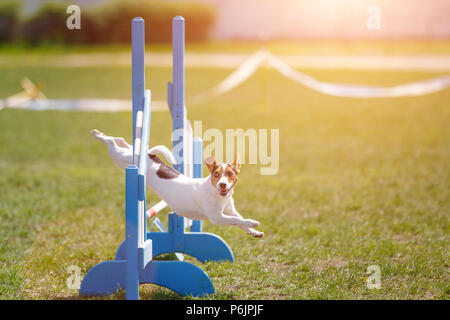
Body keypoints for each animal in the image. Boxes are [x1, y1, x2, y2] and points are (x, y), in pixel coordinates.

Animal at [91, 128, 264, 238]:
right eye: (216, 175)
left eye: (229, 174)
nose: (222, 185)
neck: (217, 194)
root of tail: (149, 156)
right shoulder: (217, 217)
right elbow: (237, 220)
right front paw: (252, 222)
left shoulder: (230, 212)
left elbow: (239, 220)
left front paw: (253, 231)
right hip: (120, 158)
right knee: (111, 143)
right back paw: (98, 135)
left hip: (129, 153)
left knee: (122, 142)